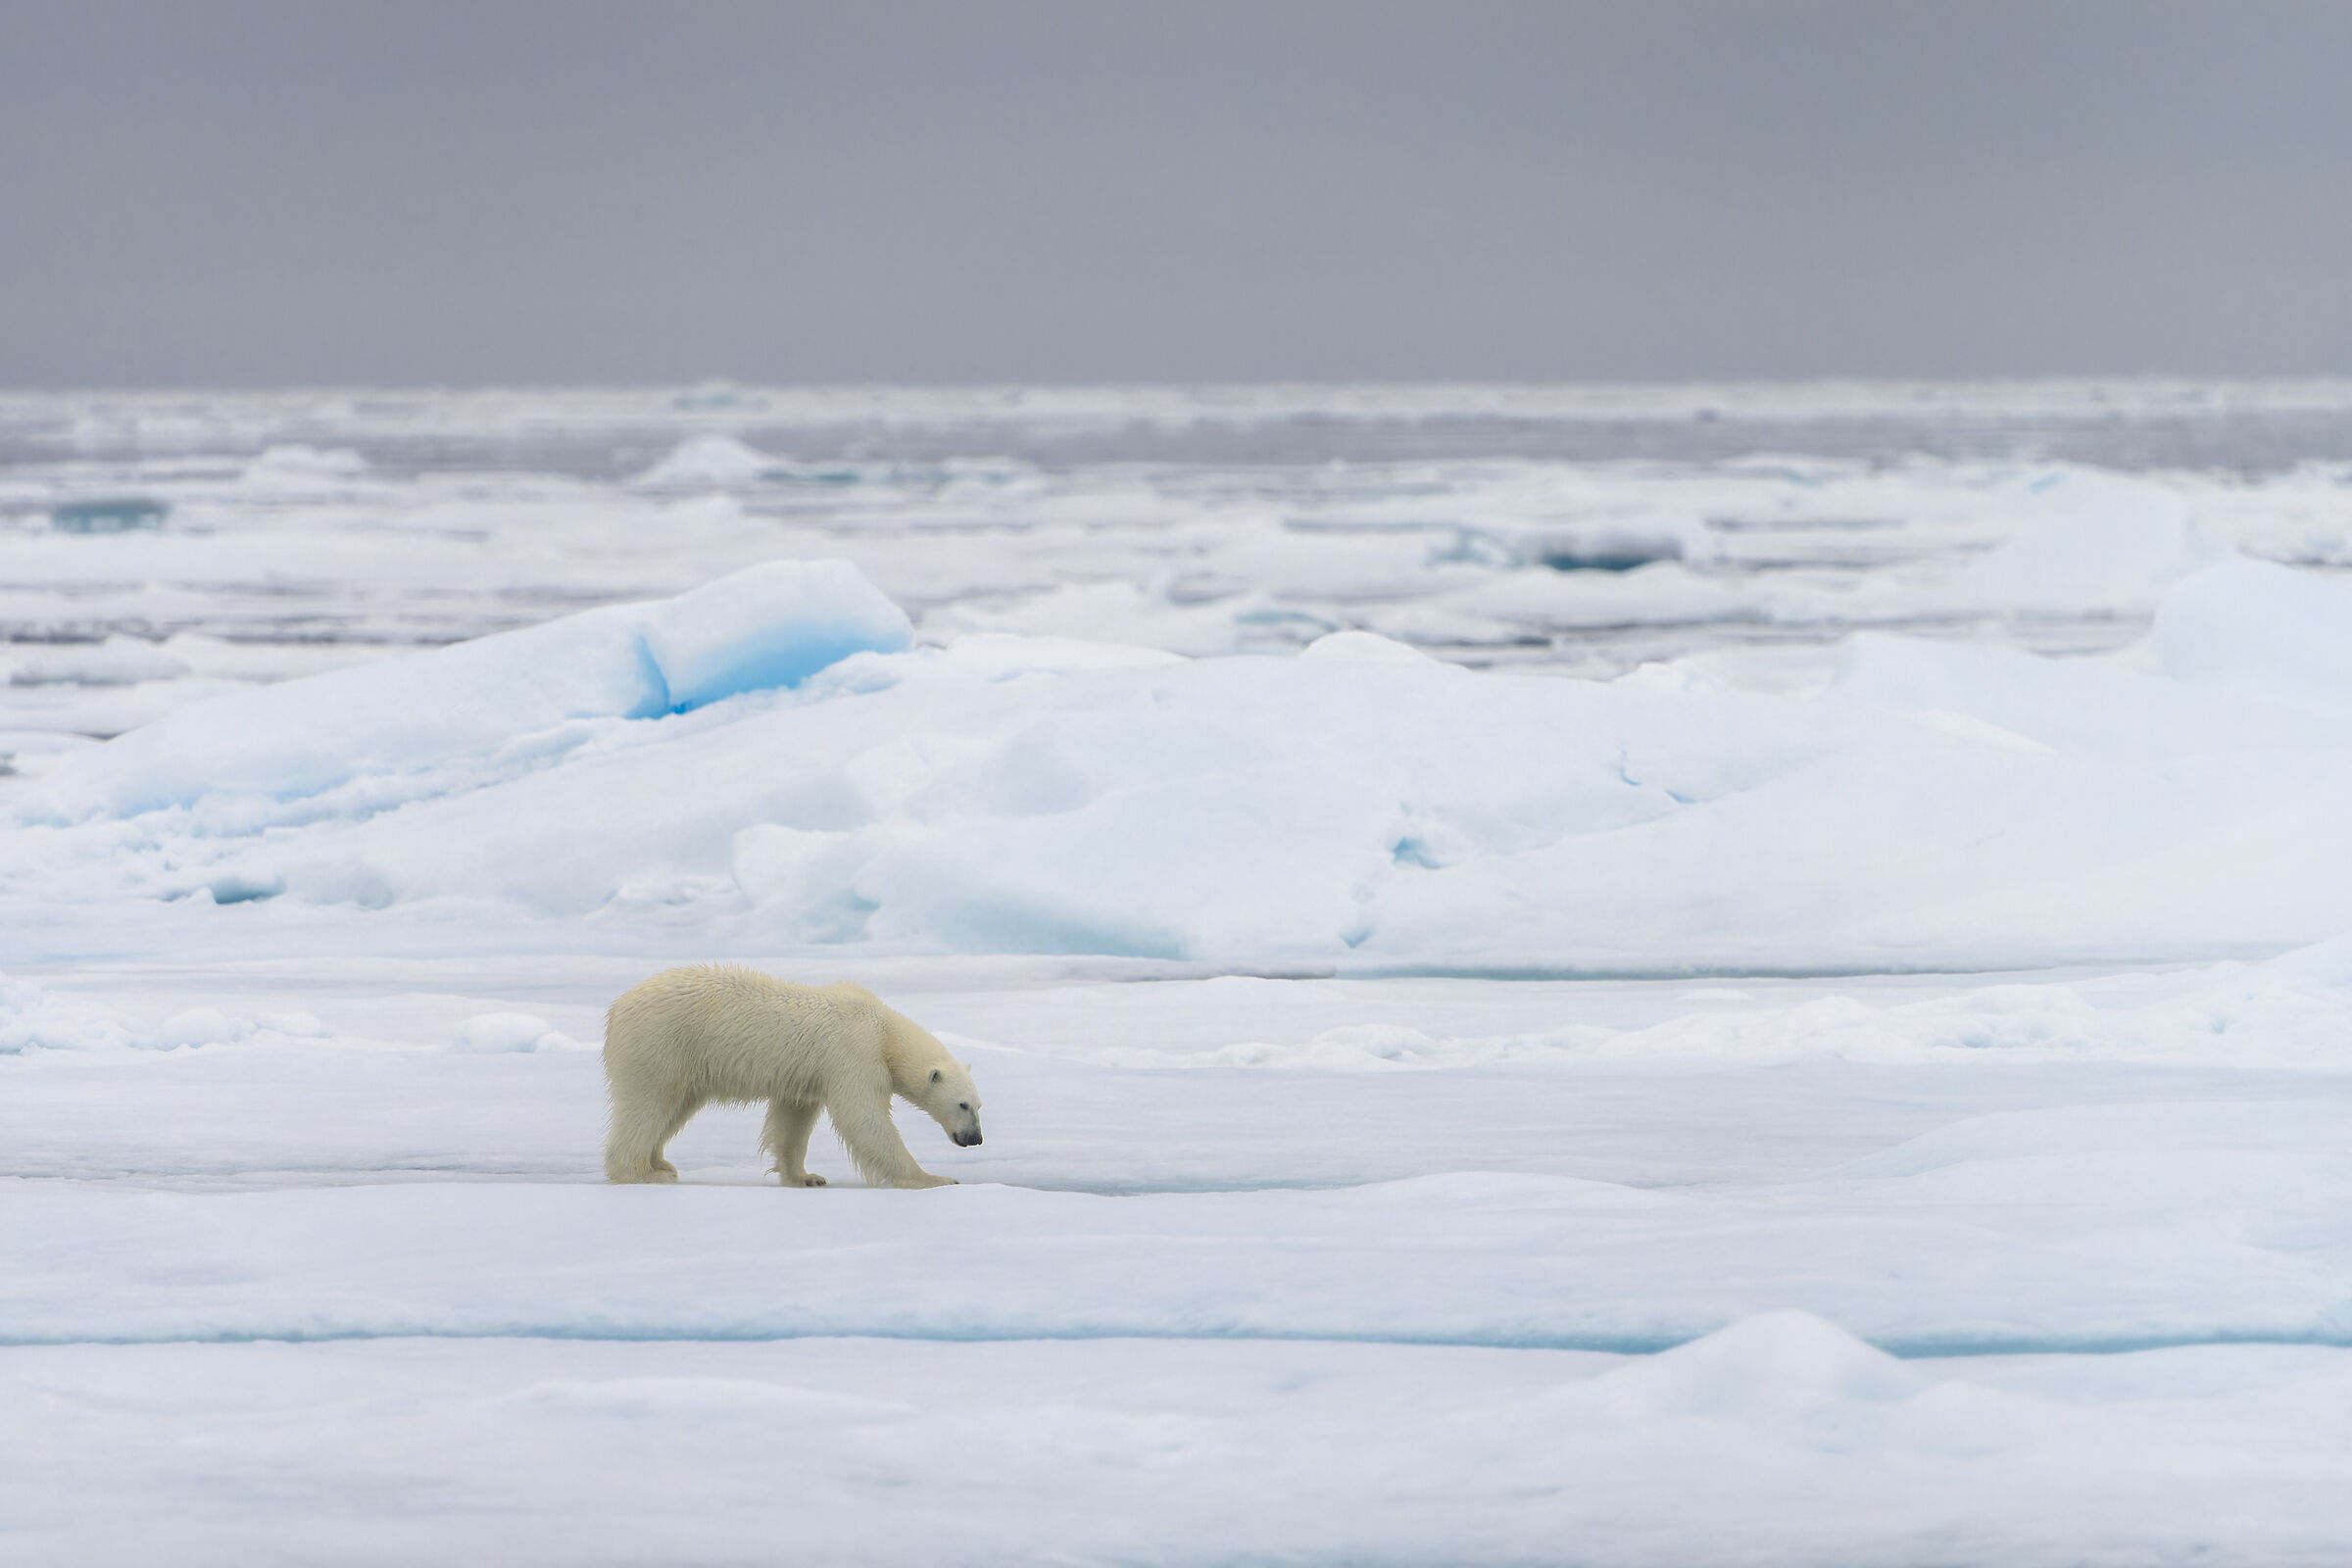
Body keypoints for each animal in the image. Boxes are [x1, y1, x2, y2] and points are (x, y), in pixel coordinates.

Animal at [601, 965, 982, 1189]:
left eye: (979, 1105)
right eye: (963, 1105)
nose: (975, 1139)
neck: (885, 1031)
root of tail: (617, 1008)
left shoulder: (809, 1074)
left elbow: (793, 1120)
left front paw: (806, 1177)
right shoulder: (855, 1055)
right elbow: (864, 1118)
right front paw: (933, 1178)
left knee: (675, 1107)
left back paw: (661, 1162)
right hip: (660, 1044)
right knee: (647, 1104)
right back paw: (641, 1172)